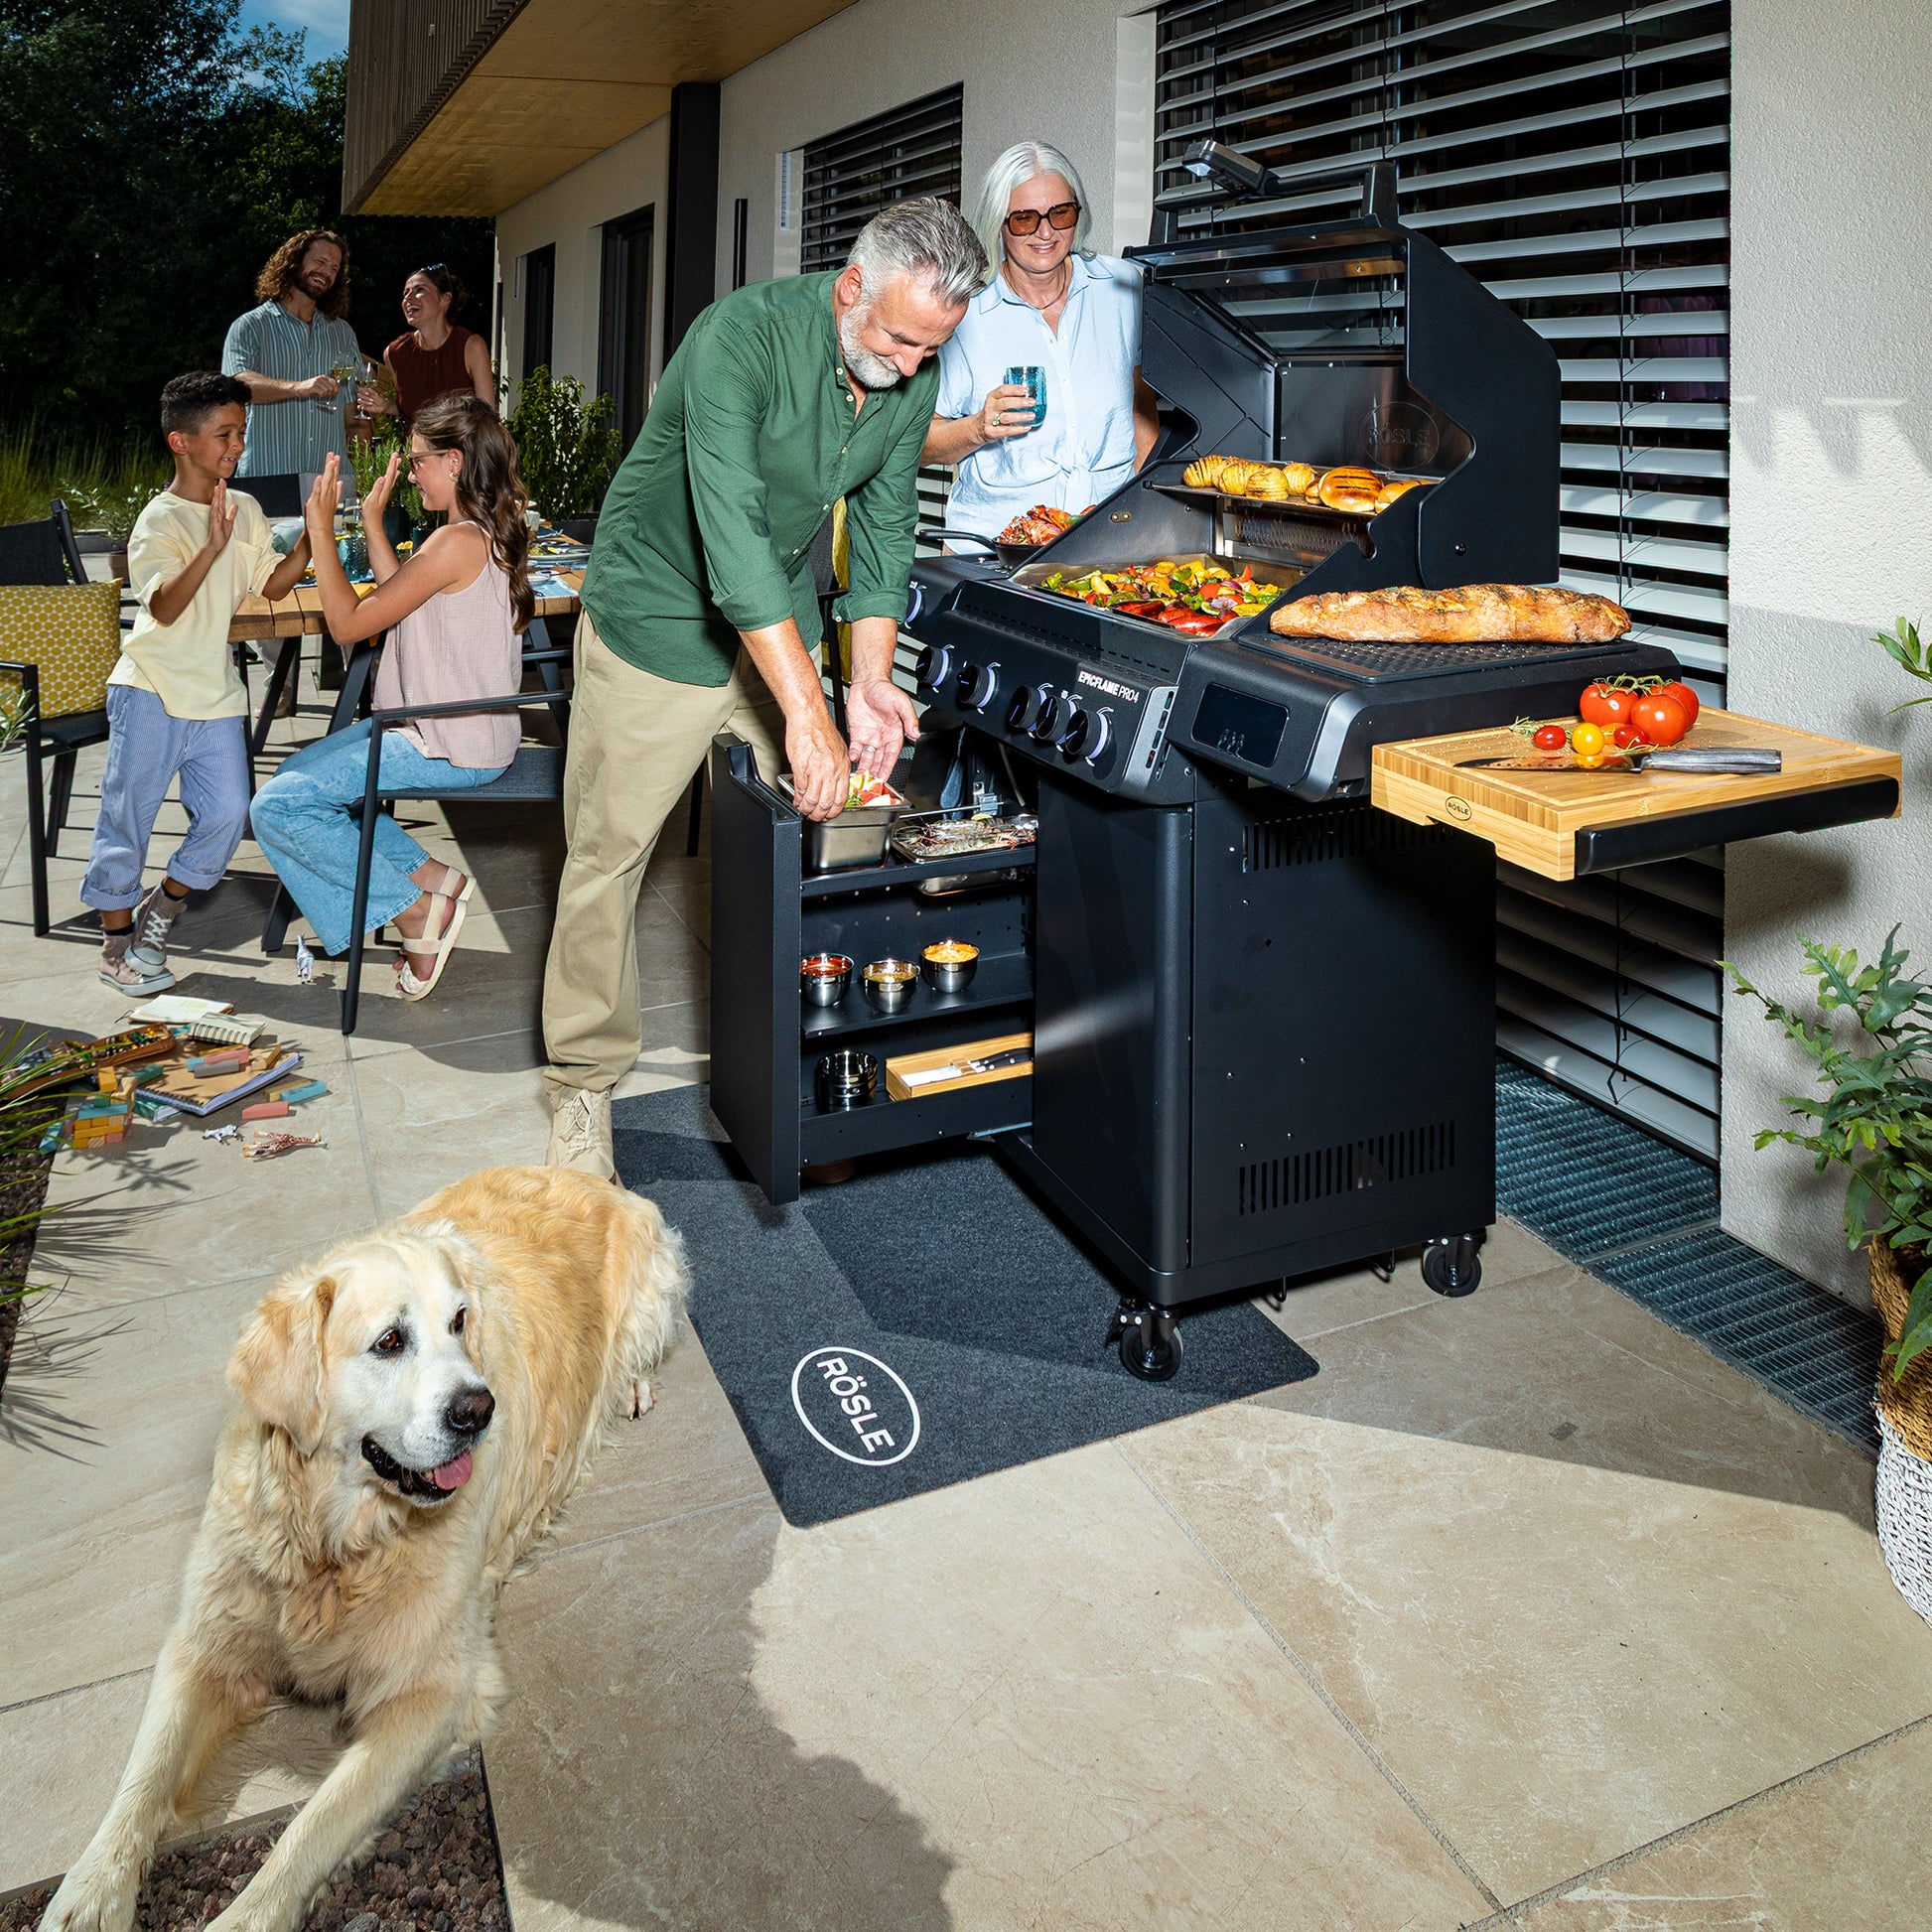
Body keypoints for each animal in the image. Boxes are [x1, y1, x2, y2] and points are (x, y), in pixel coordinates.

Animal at [42, 1165, 687, 1932]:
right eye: (389, 1341)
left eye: (460, 1322)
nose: (479, 1410)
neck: (336, 1546)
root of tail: (576, 1170)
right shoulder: (206, 1642)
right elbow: (143, 1777)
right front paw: (89, 1891)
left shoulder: (429, 1693)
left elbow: (310, 1827)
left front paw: (245, 1916)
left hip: (654, 1292)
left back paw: (632, 1387)